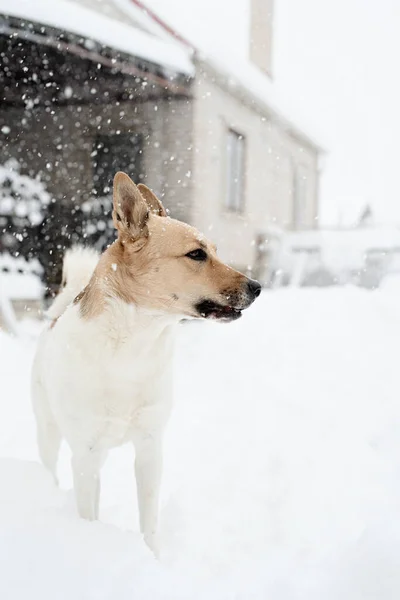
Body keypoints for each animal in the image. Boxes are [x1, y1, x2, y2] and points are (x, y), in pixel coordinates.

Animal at [32, 172, 262, 552]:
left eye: (215, 251)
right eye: (196, 254)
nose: (257, 287)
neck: (133, 346)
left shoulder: (151, 448)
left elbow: (149, 522)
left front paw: (151, 555)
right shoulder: (85, 451)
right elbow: (86, 513)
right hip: (51, 434)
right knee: (52, 468)